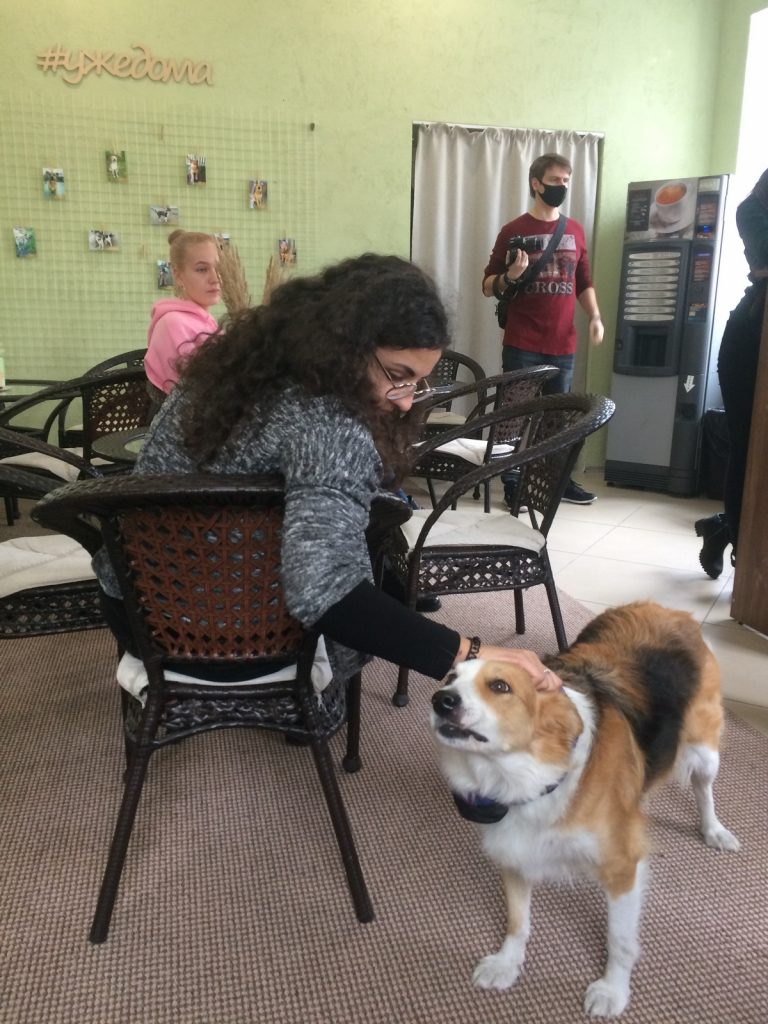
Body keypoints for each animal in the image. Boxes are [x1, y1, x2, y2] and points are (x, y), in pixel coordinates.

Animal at [430, 601, 739, 1018]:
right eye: (450, 676)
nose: (441, 699)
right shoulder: (513, 850)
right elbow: (517, 921)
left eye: (500, 687)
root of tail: (670, 610)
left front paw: (613, 990)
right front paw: (507, 963)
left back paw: (713, 829)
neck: (528, 774)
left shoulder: (623, 867)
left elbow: (619, 939)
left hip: (704, 748)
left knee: (703, 788)